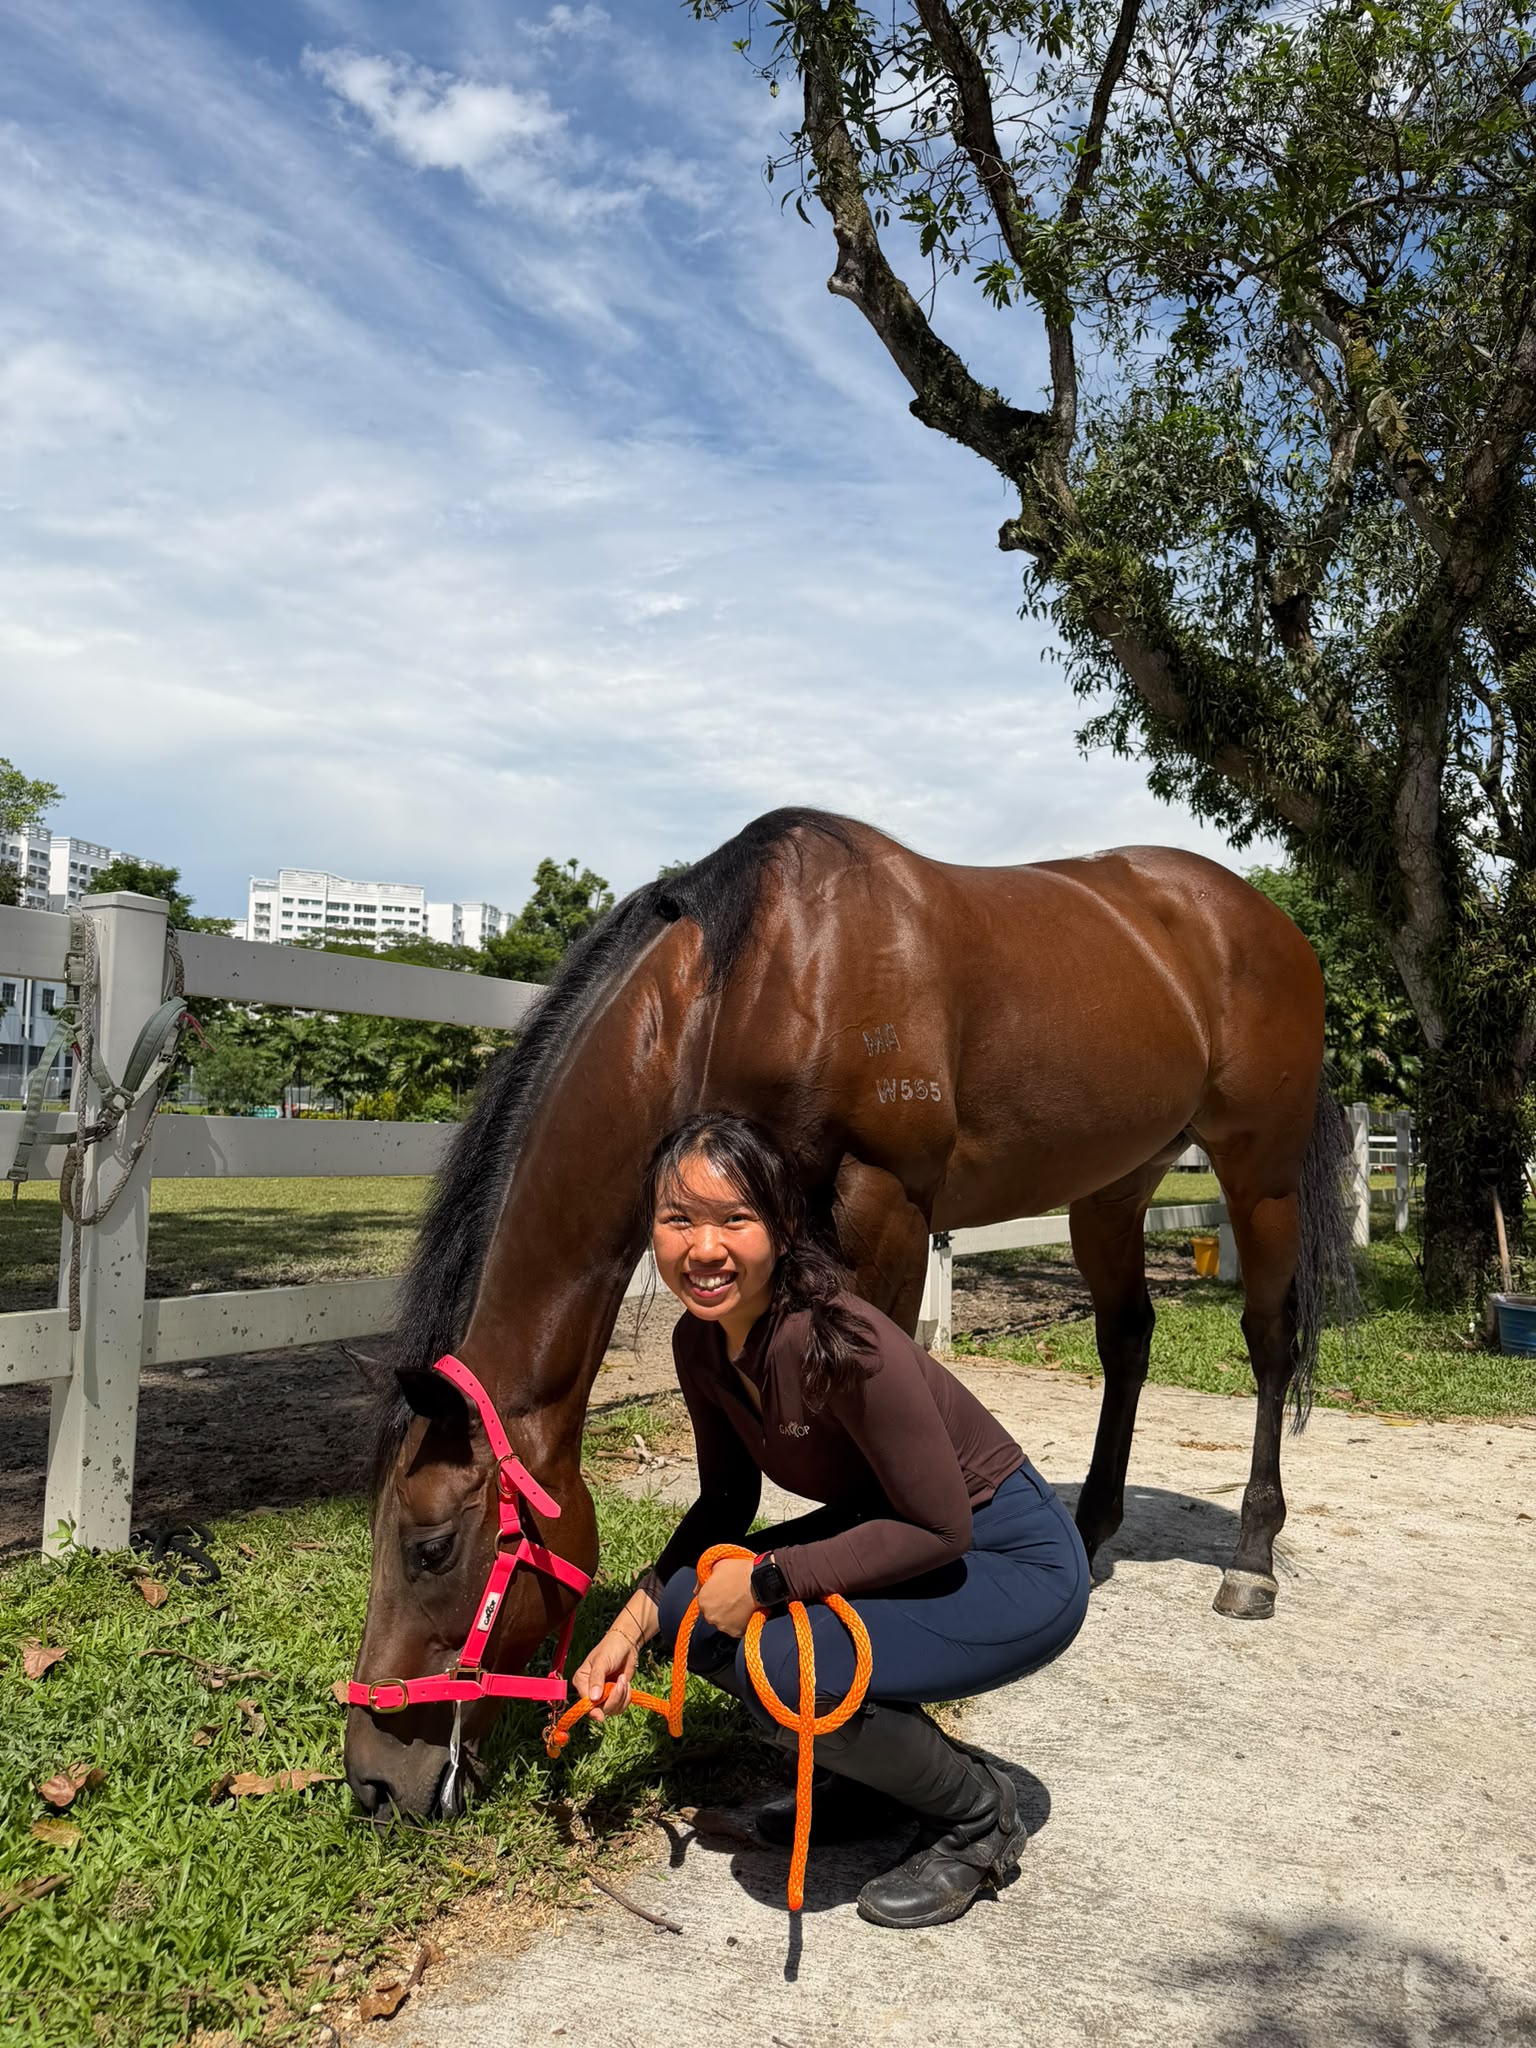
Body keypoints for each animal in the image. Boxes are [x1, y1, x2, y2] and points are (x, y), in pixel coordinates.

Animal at [346, 808, 1356, 1817]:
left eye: (431, 1547)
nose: (373, 1782)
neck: (760, 978)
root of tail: (1265, 919)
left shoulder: (889, 1202)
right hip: (1115, 1184)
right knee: (1127, 1338)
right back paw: (1092, 1529)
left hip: (1258, 1175)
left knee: (1268, 1346)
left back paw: (1251, 1562)